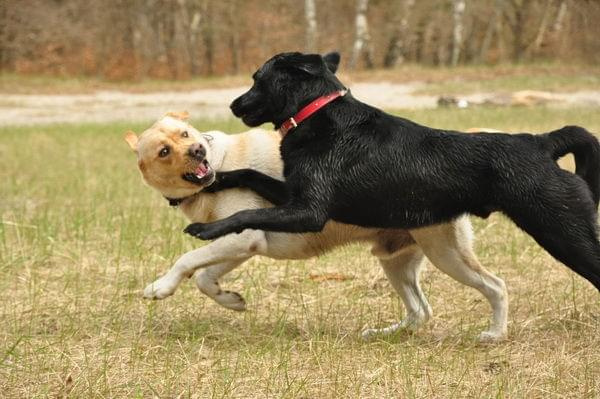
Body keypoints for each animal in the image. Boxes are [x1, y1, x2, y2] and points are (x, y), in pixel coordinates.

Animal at [124, 111, 508, 340]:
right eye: (163, 151)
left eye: (186, 133)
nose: (198, 152)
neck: (221, 164)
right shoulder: (242, 244)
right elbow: (205, 277)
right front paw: (231, 301)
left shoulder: (243, 239)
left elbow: (187, 261)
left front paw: (160, 288)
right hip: (396, 262)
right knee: (420, 311)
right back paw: (386, 333)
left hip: (446, 254)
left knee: (497, 287)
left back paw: (494, 334)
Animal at [188, 52, 600, 290]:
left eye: (257, 78)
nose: (233, 104)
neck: (318, 113)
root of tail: (541, 142)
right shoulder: (293, 195)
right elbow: (248, 174)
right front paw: (211, 182)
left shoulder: (309, 212)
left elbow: (246, 213)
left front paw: (207, 229)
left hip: (562, 229)